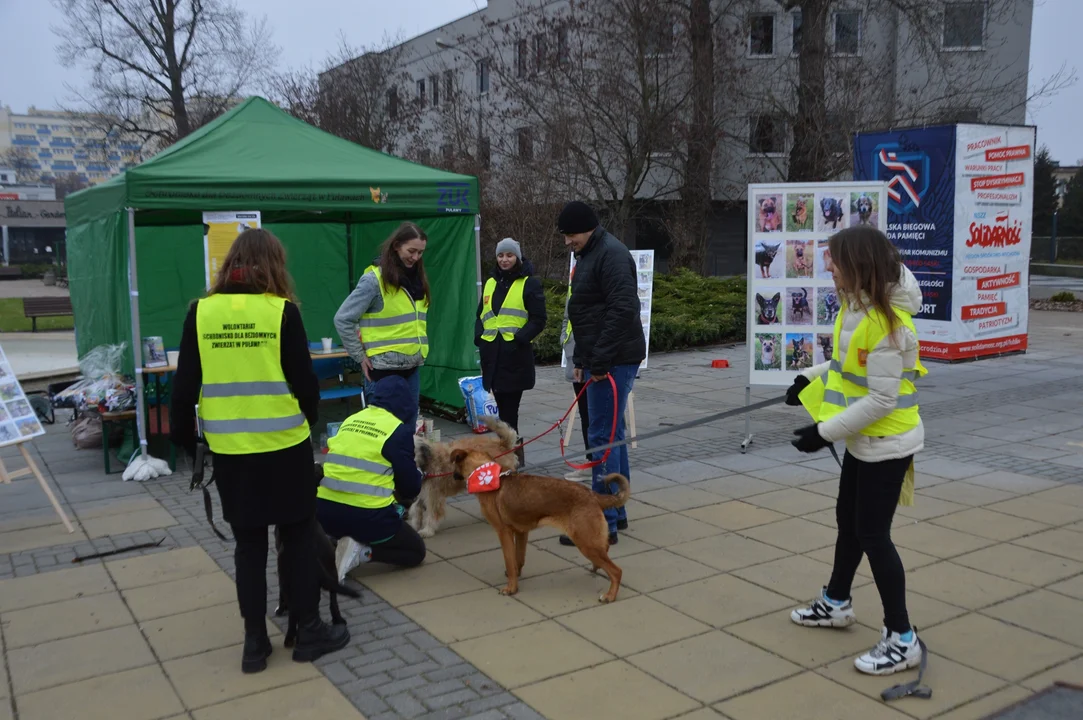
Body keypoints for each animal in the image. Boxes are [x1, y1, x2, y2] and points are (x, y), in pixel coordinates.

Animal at [450, 446, 632, 601]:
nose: (451, 476)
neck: (486, 476)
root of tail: (593, 495)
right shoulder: (521, 532)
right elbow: (518, 560)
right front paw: (516, 578)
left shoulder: (504, 533)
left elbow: (509, 561)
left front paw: (511, 588)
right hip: (590, 540)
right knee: (605, 549)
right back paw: (596, 568)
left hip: (585, 542)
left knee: (616, 571)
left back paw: (610, 595)